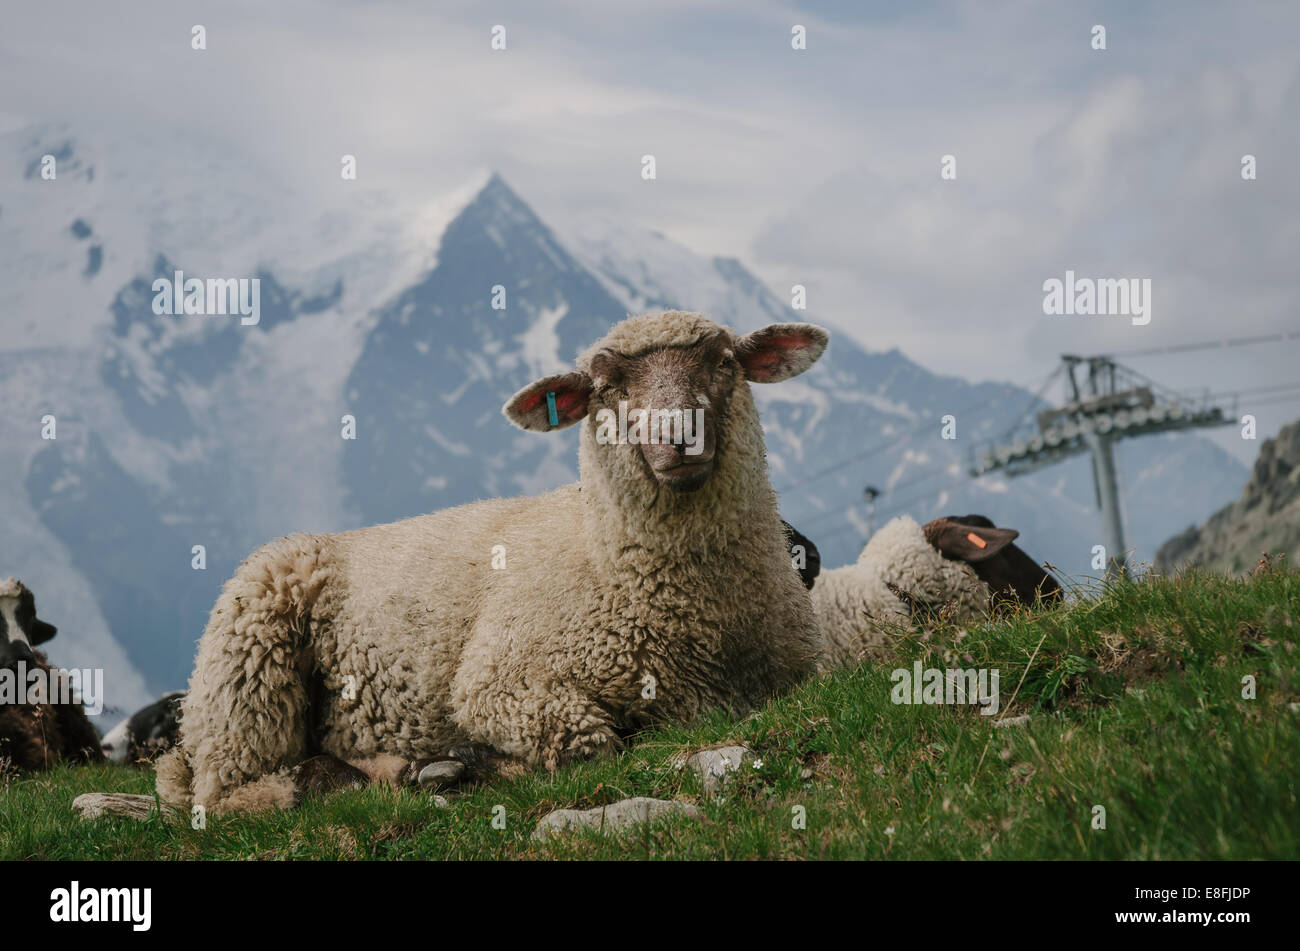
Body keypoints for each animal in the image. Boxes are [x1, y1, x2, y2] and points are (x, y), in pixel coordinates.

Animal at [157, 310, 826, 810]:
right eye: (606, 386)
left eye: (725, 361)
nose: (676, 436)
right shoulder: (500, 683)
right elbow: (592, 745)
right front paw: (484, 763)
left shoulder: (796, 675)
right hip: (247, 663)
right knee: (231, 793)